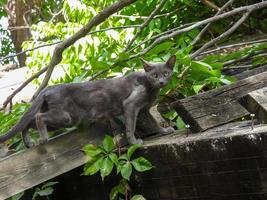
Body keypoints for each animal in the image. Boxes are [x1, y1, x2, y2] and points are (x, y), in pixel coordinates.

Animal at [0, 54, 177, 147]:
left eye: (166, 73)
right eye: (154, 75)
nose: (161, 82)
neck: (150, 88)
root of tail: (48, 88)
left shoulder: (144, 110)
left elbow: (154, 122)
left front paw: (164, 131)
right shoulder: (131, 105)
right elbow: (130, 127)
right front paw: (134, 142)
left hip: (62, 119)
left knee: (28, 122)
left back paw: (29, 142)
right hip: (65, 117)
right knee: (37, 117)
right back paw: (43, 139)